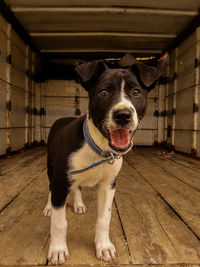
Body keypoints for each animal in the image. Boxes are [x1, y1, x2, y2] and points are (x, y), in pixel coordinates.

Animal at [43, 60, 161, 266]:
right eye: (103, 92)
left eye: (136, 92)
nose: (123, 115)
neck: (99, 149)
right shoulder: (60, 181)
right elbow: (59, 222)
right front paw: (57, 250)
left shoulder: (108, 185)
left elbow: (104, 218)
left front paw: (104, 246)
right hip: (52, 168)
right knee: (51, 188)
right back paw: (49, 207)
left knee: (77, 187)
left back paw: (79, 204)